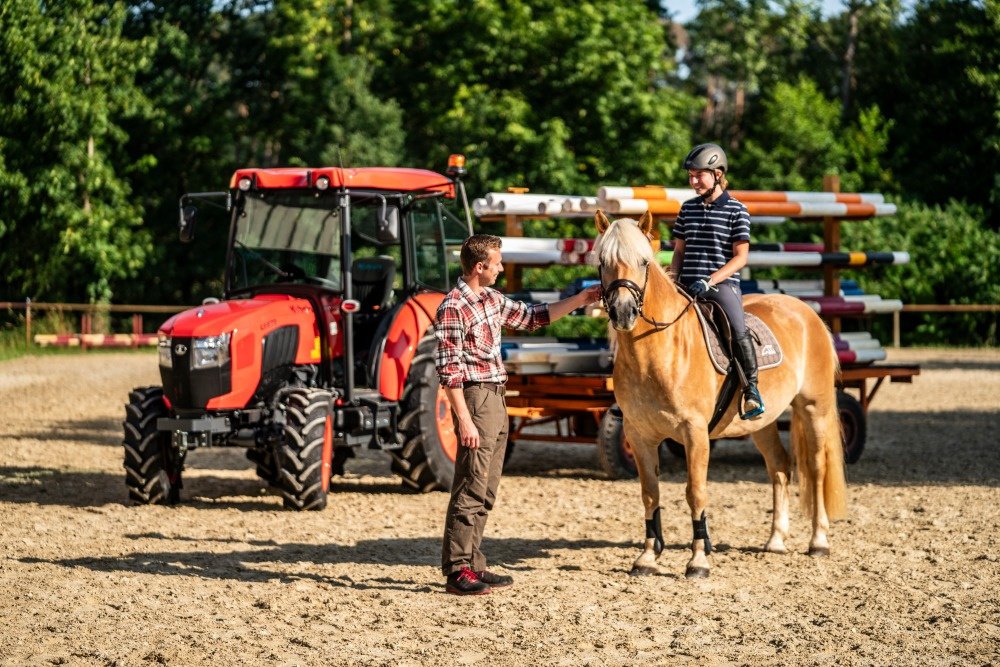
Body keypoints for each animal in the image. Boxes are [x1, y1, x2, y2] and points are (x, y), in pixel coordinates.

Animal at [596, 210, 848, 580]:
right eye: (602, 262)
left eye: (643, 262)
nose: (623, 312)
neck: (660, 353)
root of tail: (807, 313)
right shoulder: (638, 434)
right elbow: (649, 494)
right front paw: (646, 558)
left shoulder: (695, 432)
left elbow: (695, 492)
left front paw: (698, 560)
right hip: (762, 422)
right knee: (780, 467)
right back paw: (775, 540)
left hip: (814, 408)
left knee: (816, 469)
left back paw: (818, 541)